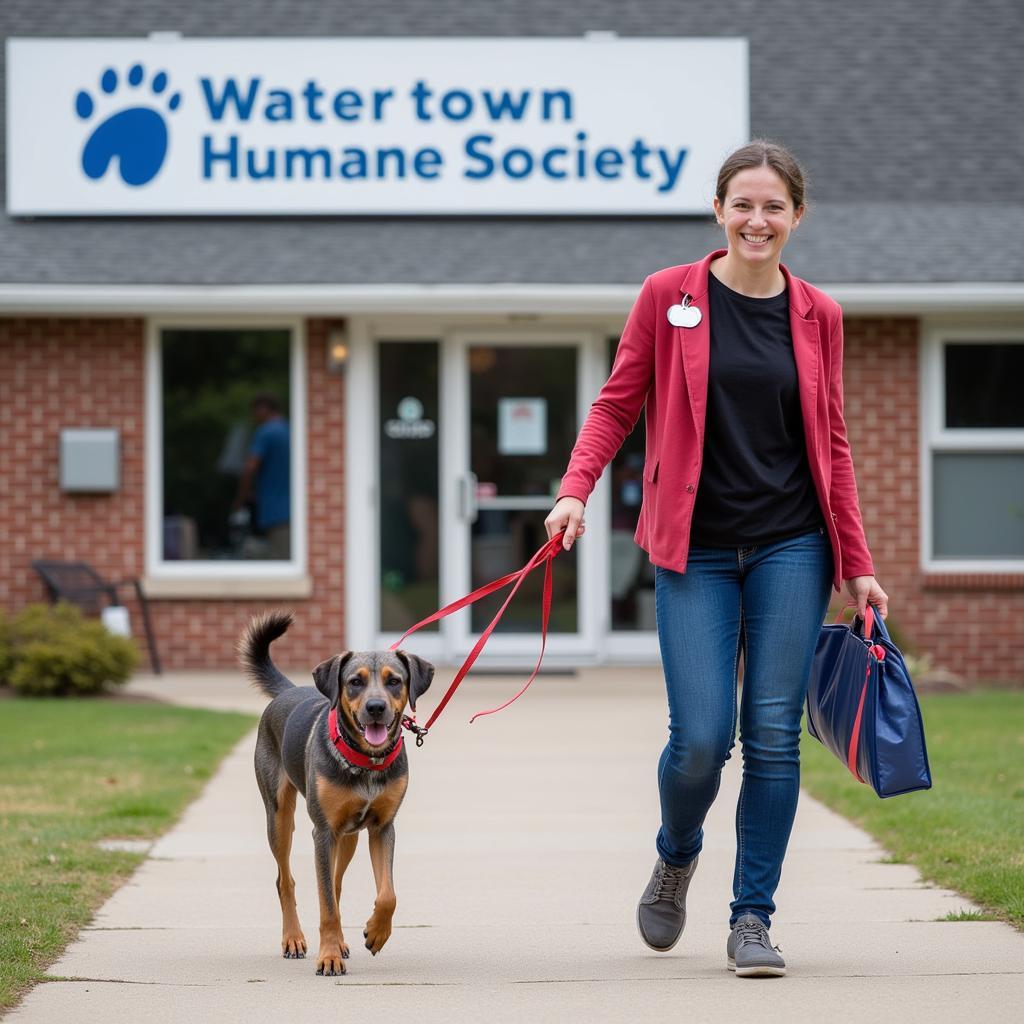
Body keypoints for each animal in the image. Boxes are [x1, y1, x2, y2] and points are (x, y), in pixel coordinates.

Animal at [238, 606, 432, 974]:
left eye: (394, 681)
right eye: (355, 681)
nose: (375, 708)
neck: (366, 762)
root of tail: (286, 692)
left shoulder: (382, 828)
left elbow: (387, 894)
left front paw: (376, 932)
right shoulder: (323, 831)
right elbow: (325, 904)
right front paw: (327, 956)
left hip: (349, 836)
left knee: (337, 883)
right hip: (280, 816)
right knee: (286, 880)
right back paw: (293, 939)